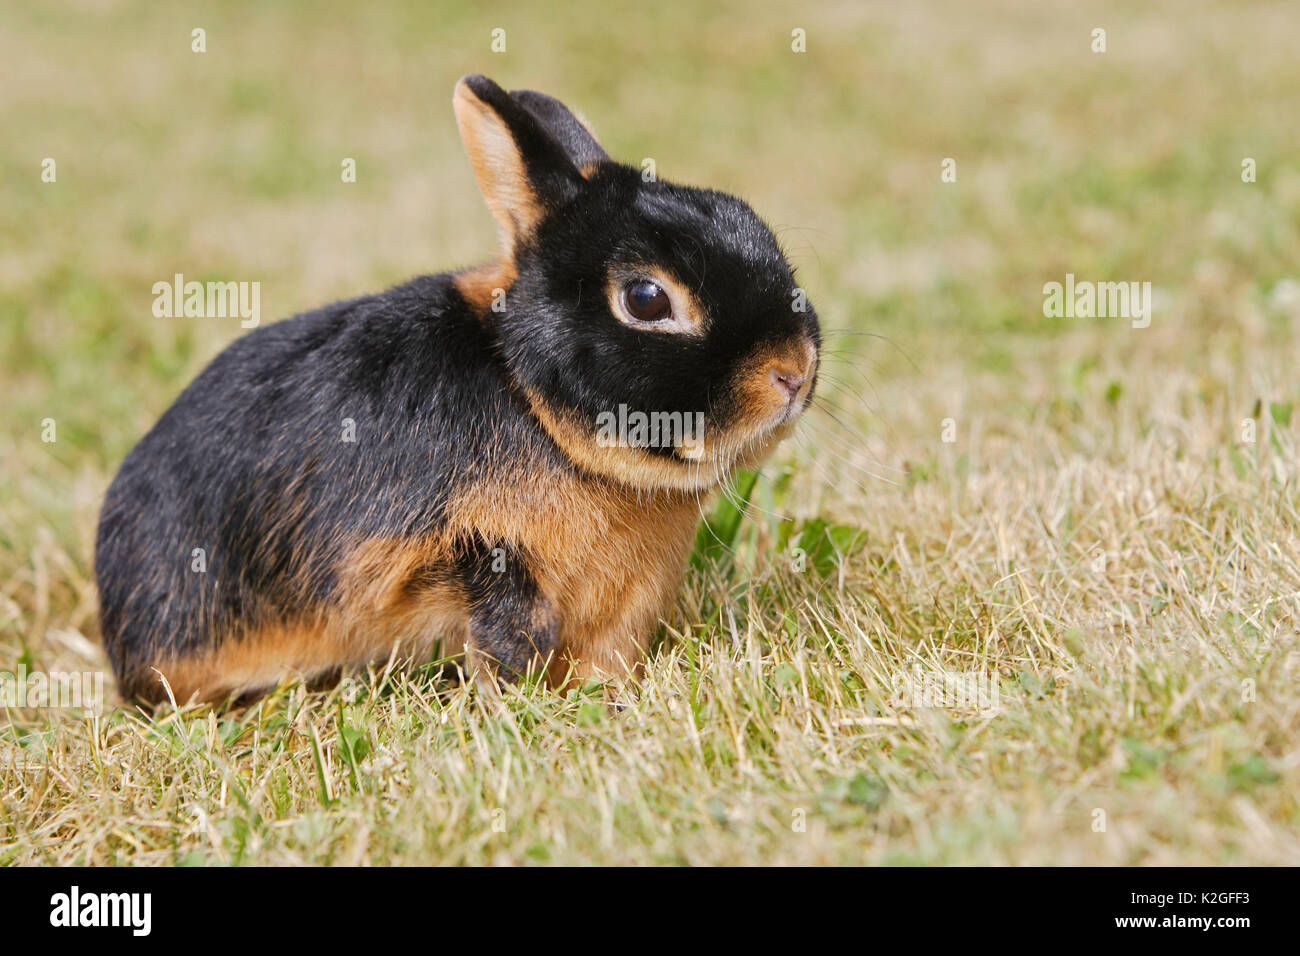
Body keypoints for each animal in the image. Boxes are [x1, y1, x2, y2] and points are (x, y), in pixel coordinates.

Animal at [95, 74, 820, 705]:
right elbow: (507, 630)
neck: (530, 400)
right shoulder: (467, 551)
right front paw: (523, 704)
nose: (794, 369)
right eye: (646, 299)